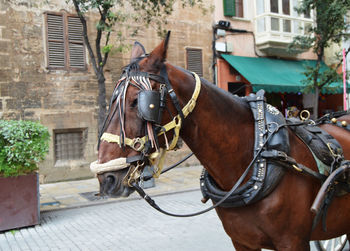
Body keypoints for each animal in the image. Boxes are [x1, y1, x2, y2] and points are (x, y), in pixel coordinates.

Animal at [94, 33, 350, 251]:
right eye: (112, 99)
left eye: (138, 102)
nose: (106, 178)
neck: (256, 157)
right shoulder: (242, 242)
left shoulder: (293, 242)